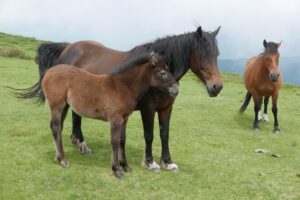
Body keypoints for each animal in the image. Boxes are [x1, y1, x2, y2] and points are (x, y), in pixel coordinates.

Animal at [15, 25, 223, 171]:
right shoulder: (148, 109)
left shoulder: (166, 108)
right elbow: (149, 135)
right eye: (202, 54)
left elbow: (164, 134)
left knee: (75, 116)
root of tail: (68, 47)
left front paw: (168, 162)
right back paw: (82, 146)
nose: (217, 87)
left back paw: (78, 143)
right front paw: (150, 162)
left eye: (217, 54)